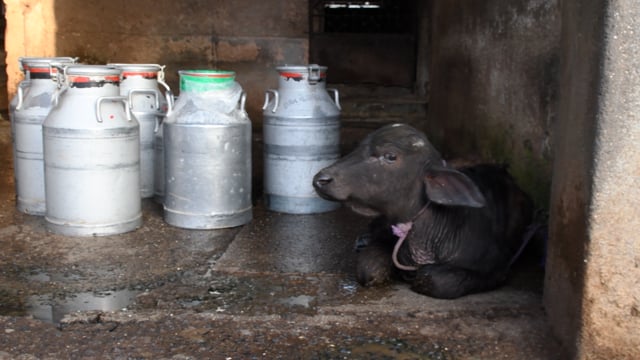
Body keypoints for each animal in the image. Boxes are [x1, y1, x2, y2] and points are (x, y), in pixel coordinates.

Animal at [312, 124, 532, 298]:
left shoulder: (497, 270)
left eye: (390, 156)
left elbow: (431, 278)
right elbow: (368, 268)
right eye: (358, 148)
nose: (321, 180)